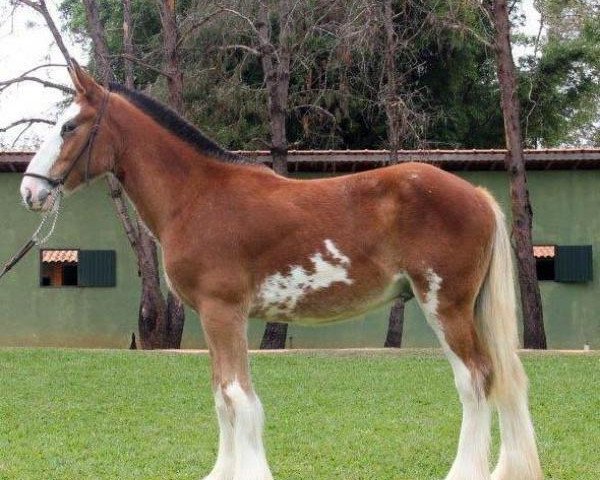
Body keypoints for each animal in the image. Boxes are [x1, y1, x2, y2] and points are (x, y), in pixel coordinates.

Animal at [19, 64, 544, 480]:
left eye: (69, 126)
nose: (29, 190)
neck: (197, 197)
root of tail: (476, 194)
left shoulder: (223, 312)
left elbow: (238, 399)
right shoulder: (213, 319)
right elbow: (222, 398)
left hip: (446, 306)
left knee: (475, 380)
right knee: (501, 379)